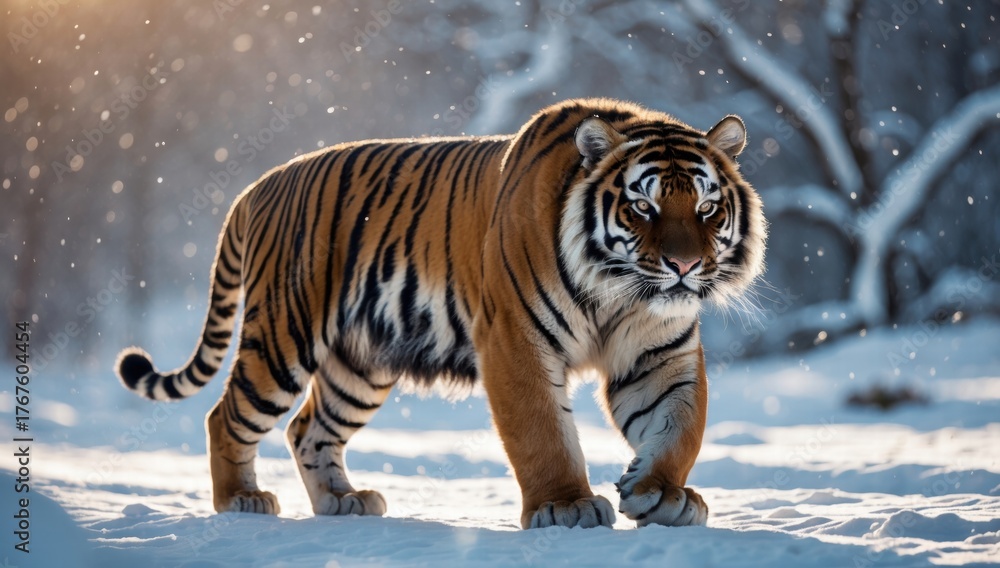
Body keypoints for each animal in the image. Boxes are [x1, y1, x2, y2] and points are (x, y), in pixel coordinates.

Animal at [116, 97, 766, 530]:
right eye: (642, 207)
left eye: (707, 208)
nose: (684, 266)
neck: (619, 291)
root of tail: (258, 186)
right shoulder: (514, 339)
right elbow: (541, 431)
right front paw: (565, 506)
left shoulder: (660, 352)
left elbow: (680, 426)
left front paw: (661, 494)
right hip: (282, 337)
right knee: (226, 416)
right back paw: (241, 502)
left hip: (360, 364)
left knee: (308, 428)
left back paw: (343, 502)